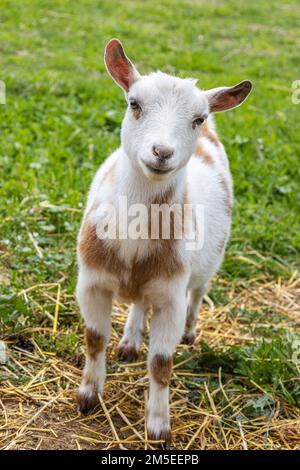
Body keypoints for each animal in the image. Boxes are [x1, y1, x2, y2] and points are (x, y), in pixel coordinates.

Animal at [76, 38, 252, 446]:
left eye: (196, 118)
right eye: (134, 103)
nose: (162, 152)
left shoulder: (171, 294)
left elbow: (160, 364)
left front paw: (158, 427)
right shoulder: (92, 281)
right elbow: (94, 339)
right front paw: (88, 396)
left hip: (208, 263)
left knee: (198, 293)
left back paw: (188, 332)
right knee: (140, 303)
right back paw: (128, 342)